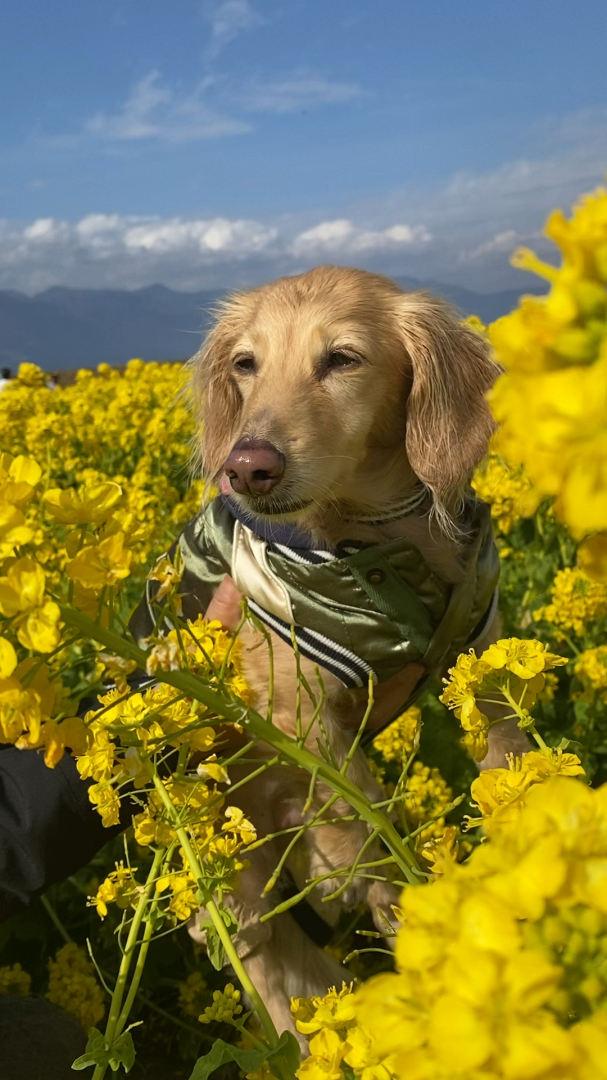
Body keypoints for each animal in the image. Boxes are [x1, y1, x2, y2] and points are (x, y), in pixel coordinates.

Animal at [136, 265, 524, 1041]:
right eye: (245, 364)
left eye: (342, 359)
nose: (246, 468)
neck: (377, 538)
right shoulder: (292, 700)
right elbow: (358, 797)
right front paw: (369, 877)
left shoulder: (479, 643)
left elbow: (502, 744)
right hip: (237, 900)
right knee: (272, 979)